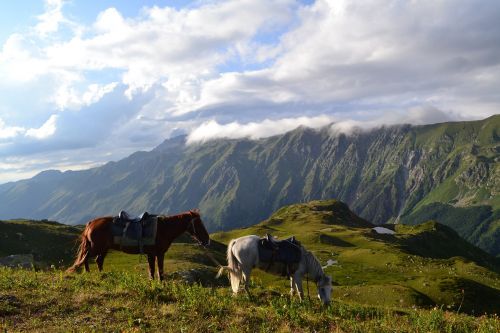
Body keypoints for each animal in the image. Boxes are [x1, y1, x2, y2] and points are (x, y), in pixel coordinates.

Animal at [66, 209, 209, 278]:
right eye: (198, 224)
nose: (207, 240)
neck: (163, 229)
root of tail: (91, 223)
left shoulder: (156, 254)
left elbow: (156, 270)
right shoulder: (155, 253)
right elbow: (156, 270)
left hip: (103, 249)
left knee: (98, 261)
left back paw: (102, 275)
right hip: (96, 247)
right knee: (86, 258)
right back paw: (88, 273)